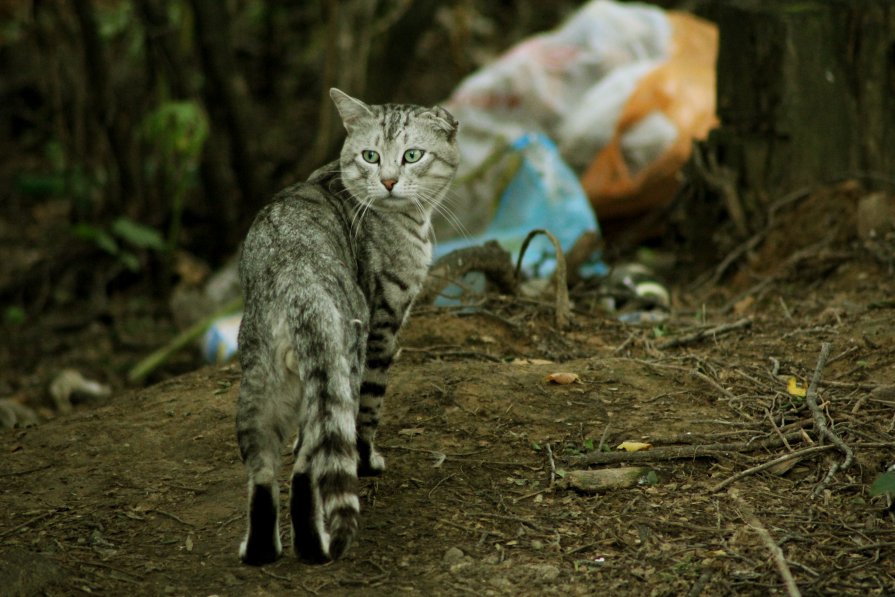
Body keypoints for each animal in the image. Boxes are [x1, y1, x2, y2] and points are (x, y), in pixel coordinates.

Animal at [234, 87, 458, 564]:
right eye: (371, 156)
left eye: (412, 155)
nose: (388, 181)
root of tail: (297, 274)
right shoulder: (385, 322)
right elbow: (369, 412)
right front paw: (366, 461)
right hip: (341, 361)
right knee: (309, 465)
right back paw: (318, 546)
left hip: (265, 379)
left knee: (265, 471)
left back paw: (263, 550)